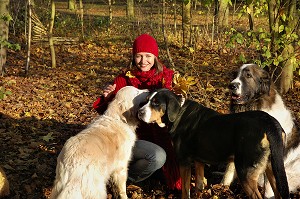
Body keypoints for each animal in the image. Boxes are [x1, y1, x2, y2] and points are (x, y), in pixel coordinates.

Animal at [139, 88, 290, 199]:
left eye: (156, 103)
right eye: (145, 101)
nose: (139, 112)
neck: (178, 113)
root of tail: (270, 123)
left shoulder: (184, 161)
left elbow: (185, 190)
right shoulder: (199, 161)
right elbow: (199, 185)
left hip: (246, 172)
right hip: (273, 168)